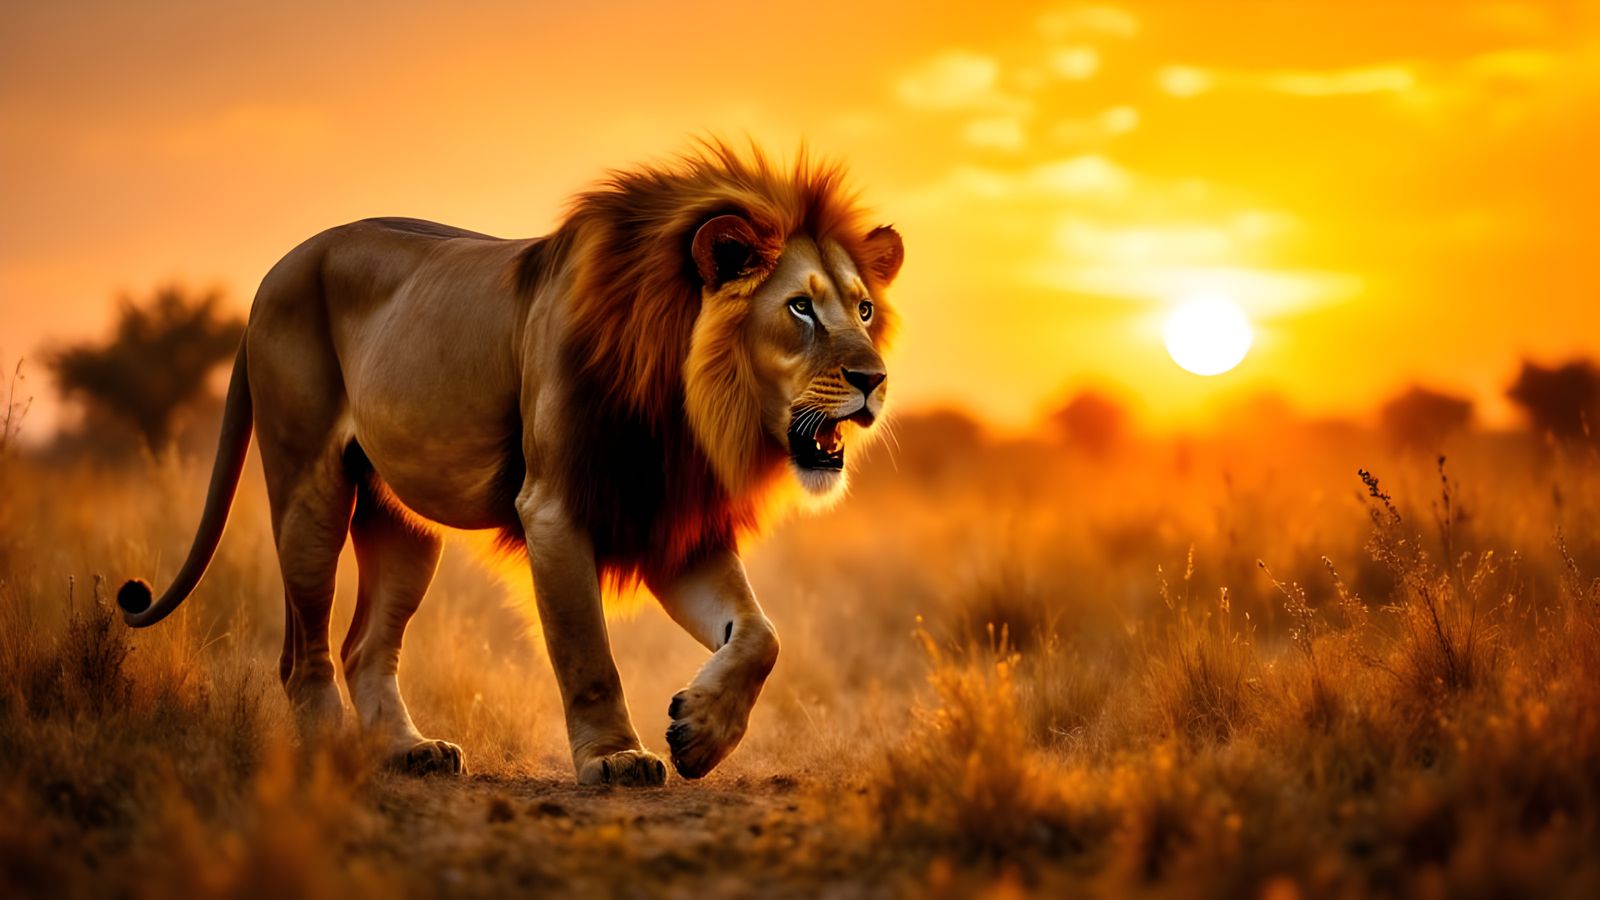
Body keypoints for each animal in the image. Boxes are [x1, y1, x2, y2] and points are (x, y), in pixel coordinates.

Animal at [116, 142, 904, 786]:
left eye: (864, 310)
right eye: (800, 309)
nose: (875, 379)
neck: (685, 404)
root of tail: (273, 273)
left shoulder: (669, 520)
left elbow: (761, 635)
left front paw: (700, 734)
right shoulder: (554, 508)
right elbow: (587, 652)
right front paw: (616, 758)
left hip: (402, 525)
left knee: (365, 646)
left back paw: (411, 751)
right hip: (309, 487)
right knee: (302, 651)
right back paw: (331, 752)